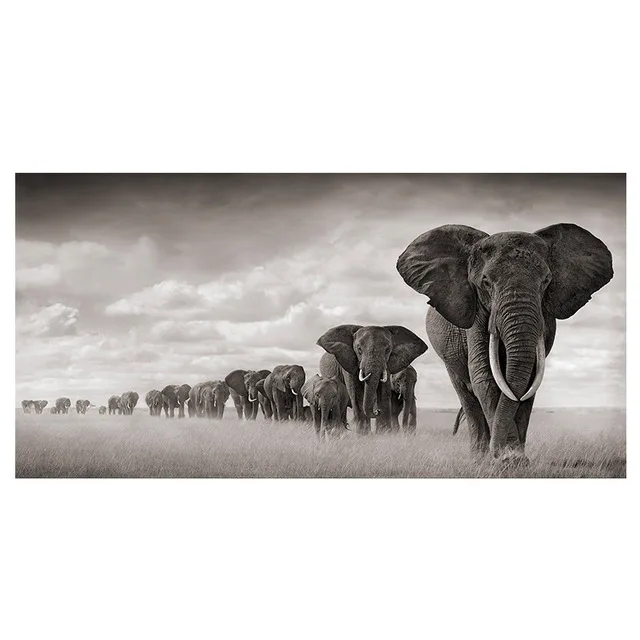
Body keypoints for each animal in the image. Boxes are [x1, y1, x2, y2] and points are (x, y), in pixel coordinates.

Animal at [396, 223, 614, 463]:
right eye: (486, 282)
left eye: (546, 281)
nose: (500, 453)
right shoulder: (476, 313)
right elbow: (485, 376)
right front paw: (508, 459)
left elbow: (529, 380)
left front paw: (515, 458)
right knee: (467, 395)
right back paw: (478, 457)